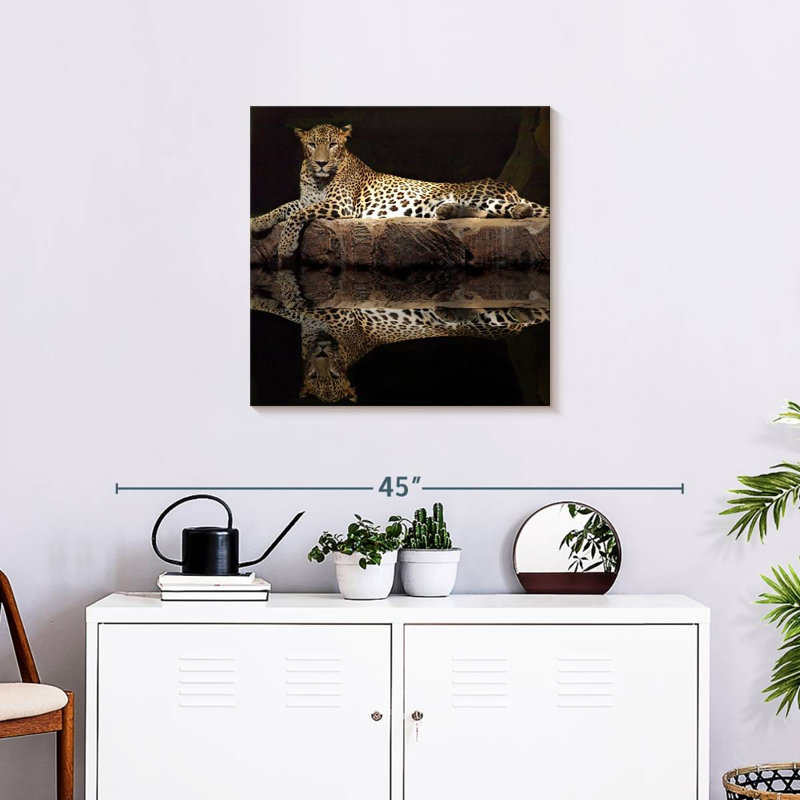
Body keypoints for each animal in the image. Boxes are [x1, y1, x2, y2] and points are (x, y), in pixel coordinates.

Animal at [250, 123, 550, 258]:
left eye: (333, 145)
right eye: (312, 144)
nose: (321, 162)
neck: (316, 178)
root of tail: (508, 185)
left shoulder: (340, 205)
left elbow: (295, 216)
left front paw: (286, 245)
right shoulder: (306, 200)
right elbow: (283, 208)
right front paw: (257, 222)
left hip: (476, 194)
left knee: (505, 209)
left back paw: (518, 210)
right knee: (483, 213)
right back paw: (447, 210)